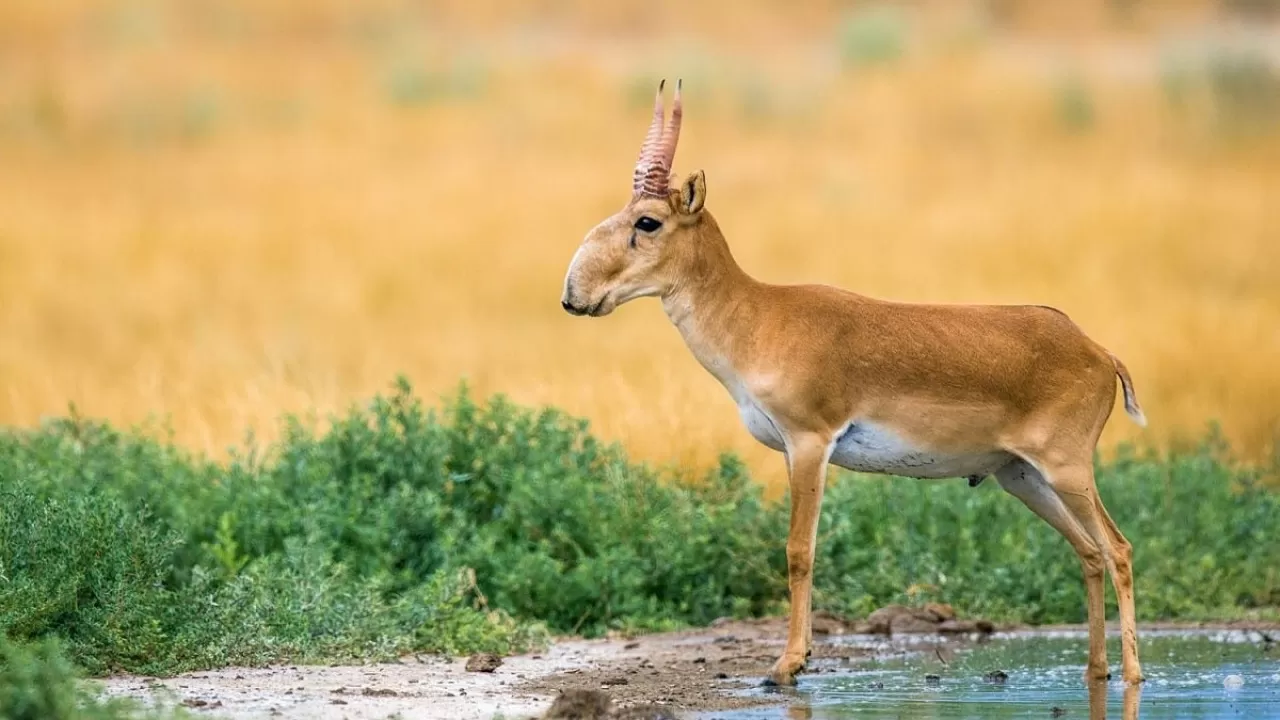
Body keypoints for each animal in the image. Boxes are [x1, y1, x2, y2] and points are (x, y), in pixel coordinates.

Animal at [560, 78, 1152, 681]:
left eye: (647, 222)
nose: (574, 295)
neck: (758, 316)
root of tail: (1100, 352)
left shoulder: (810, 442)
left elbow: (799, 550)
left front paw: (787, 664)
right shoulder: (790, 450)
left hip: (1068, 470)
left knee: (1119, 549)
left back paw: (1132, 674)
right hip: (1021, 477)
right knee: (1089, 553)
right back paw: (1095, 670)